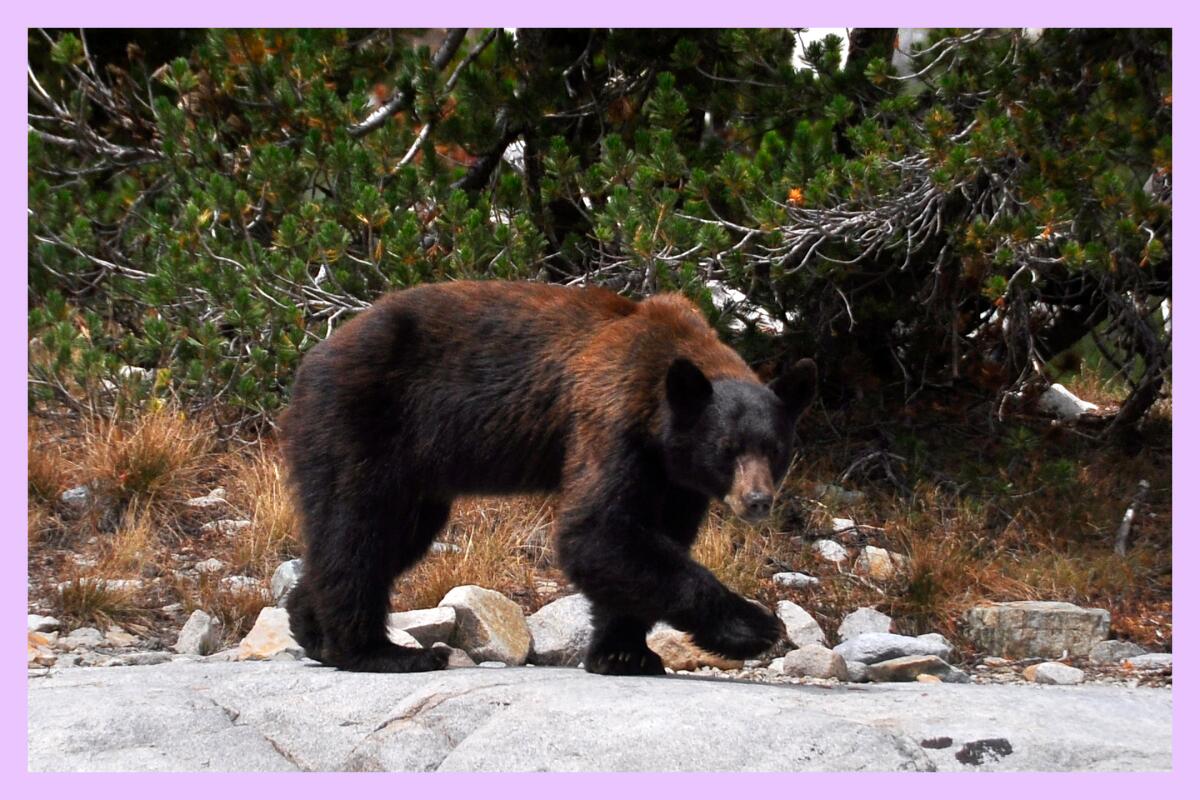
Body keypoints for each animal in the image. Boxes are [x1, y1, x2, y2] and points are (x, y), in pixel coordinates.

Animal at [280, 281, 816, 676]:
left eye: (775, 449)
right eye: (726, 449)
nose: (756, 500)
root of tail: (312, 358)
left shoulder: (675, 478)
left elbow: (647, 544)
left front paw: (624, 652)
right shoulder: (608, 424)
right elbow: (596, 532)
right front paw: (753, 626)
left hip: (409, 468)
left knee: (390, 536)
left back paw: (312, 628)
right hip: (356, 421)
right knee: (358, 529)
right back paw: (381, 652)